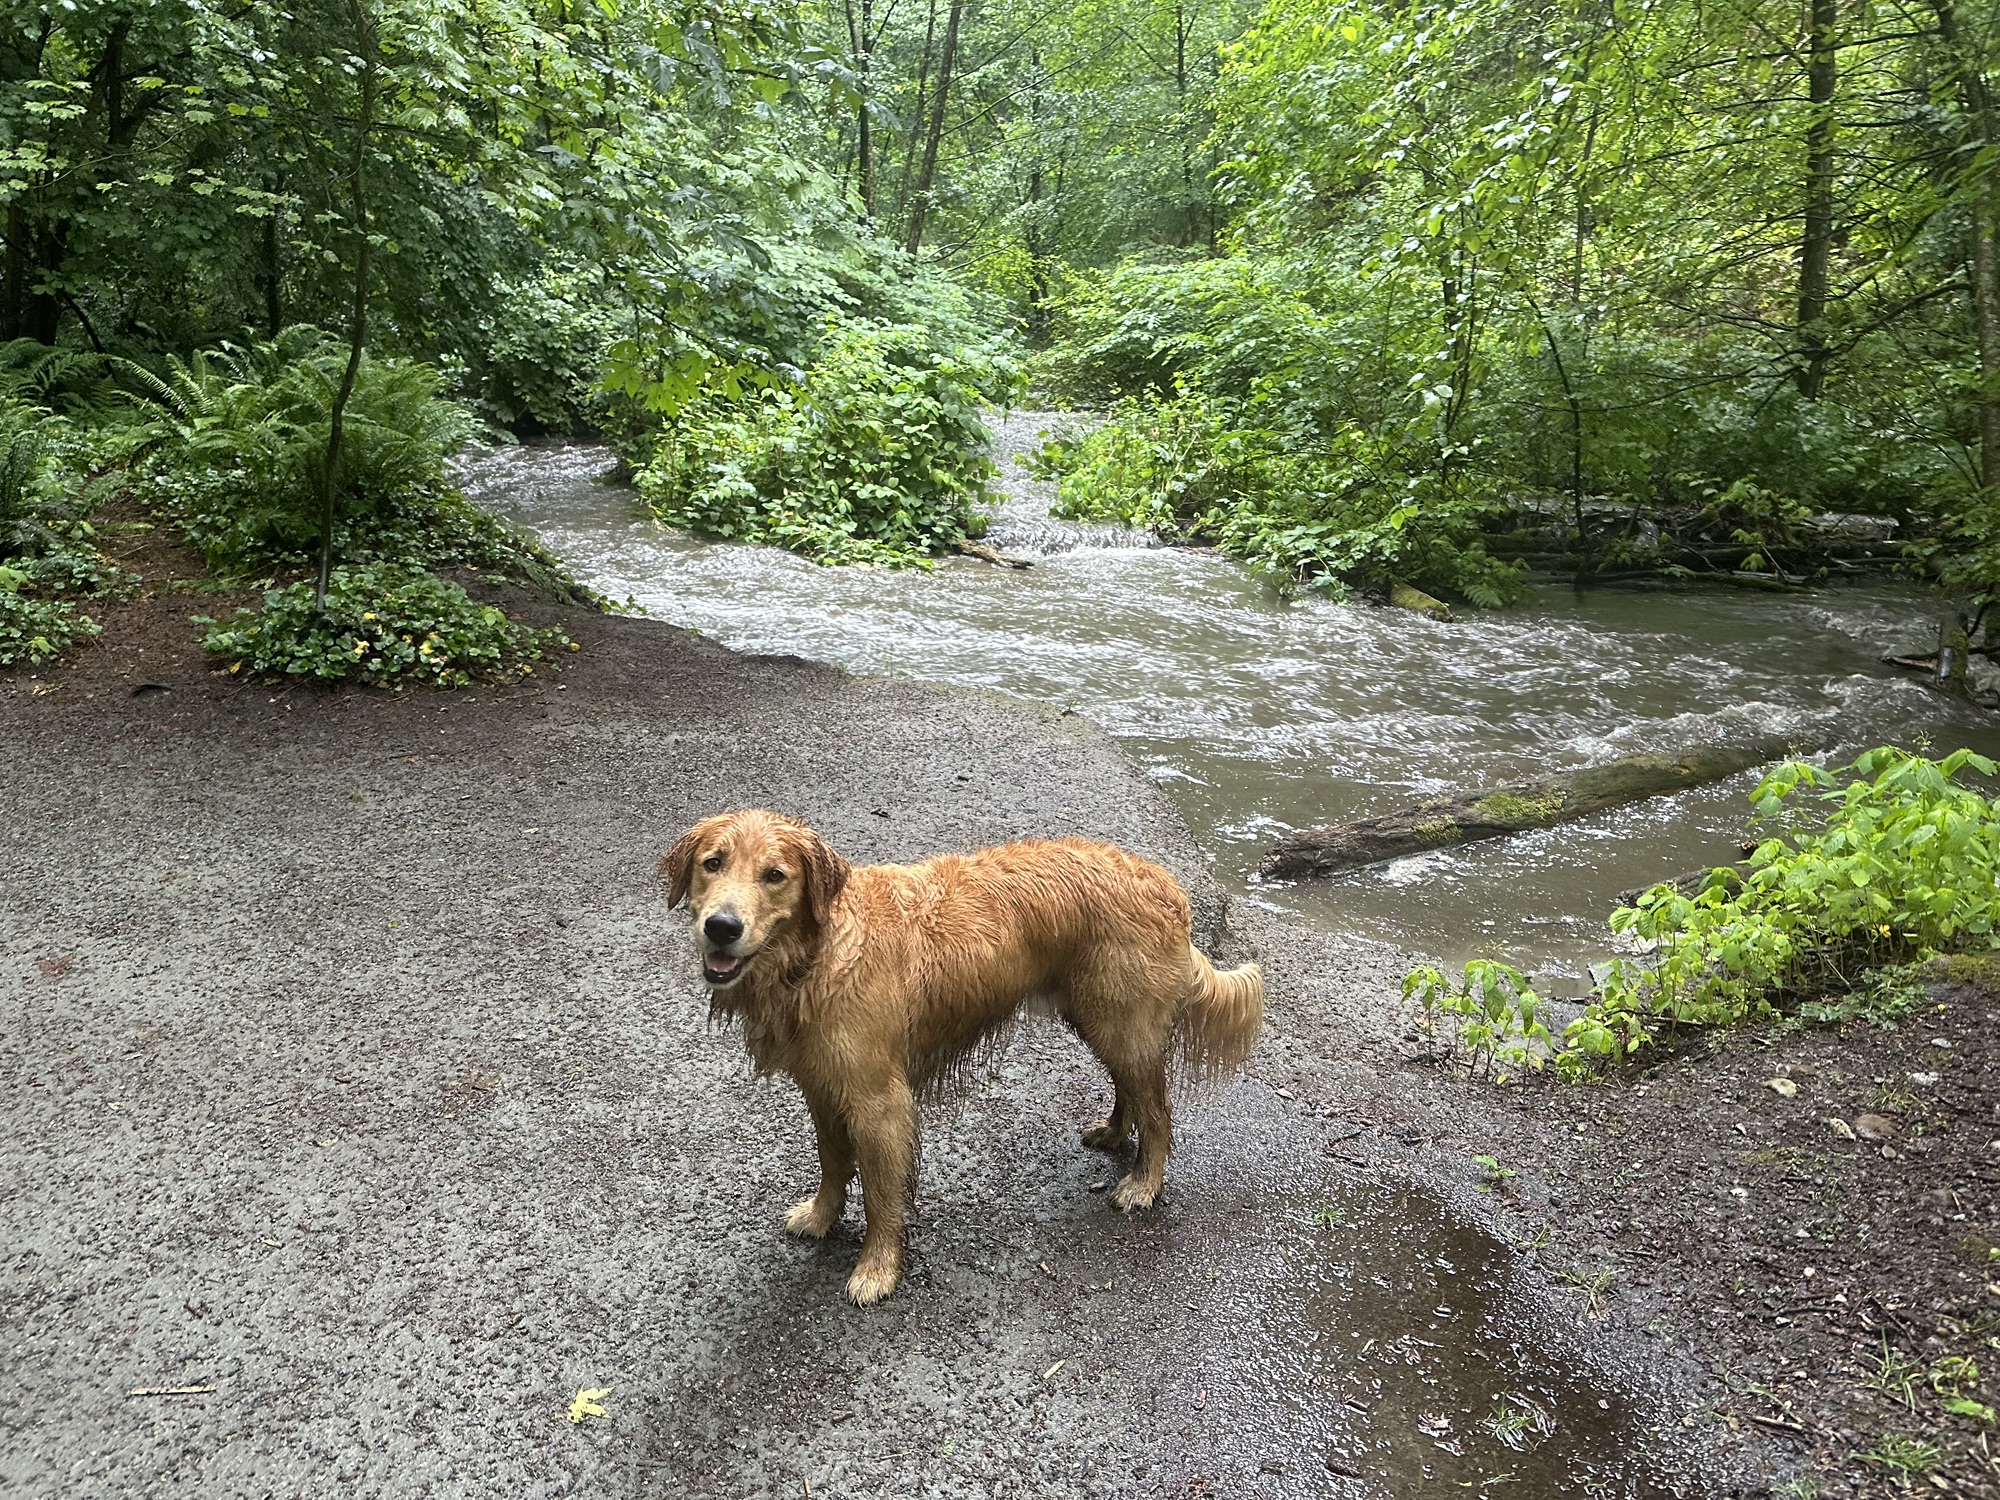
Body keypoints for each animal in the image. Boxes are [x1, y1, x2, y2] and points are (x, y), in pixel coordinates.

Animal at [664, 812, 1256, 1304]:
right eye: (713, 863)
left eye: (775, 875)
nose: (721, 927)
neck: (817, 956)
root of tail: (1166, 884)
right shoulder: (823, 1086)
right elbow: (833, 1163)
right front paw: (819, 1216)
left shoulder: (879, 1101)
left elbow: (881, 1194)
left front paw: (877, 1270)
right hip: (1098, 1018)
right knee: (1132, 1091)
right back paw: (1113, 1134)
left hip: (1122, 1022)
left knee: (1158, 1110)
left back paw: (1142, 1184)